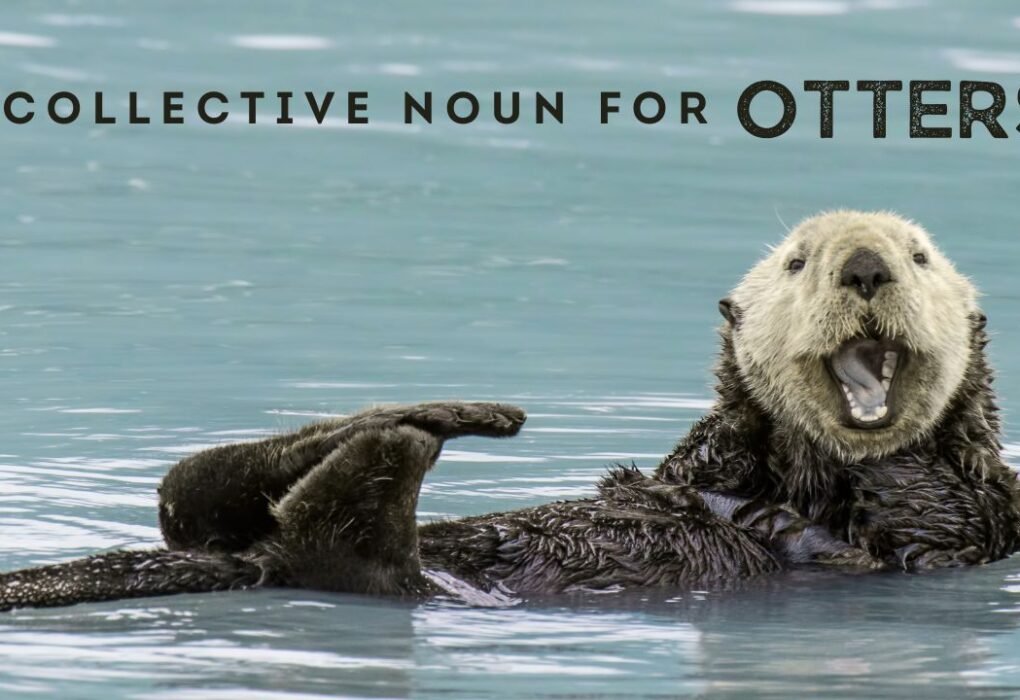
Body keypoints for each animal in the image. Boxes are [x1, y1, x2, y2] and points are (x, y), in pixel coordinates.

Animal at [2, 210, 1017, 611]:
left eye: (920, 257)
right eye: (799, 261)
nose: (866, 265)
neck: (805, 472)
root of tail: (252, 563)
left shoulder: (973, 518)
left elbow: (918, 517)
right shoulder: (700, 459)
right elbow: (683, 469)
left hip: (379, 573)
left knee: (326, 535)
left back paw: (414, 433)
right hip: (232, 525)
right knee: (192, 493)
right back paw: (440, 412)